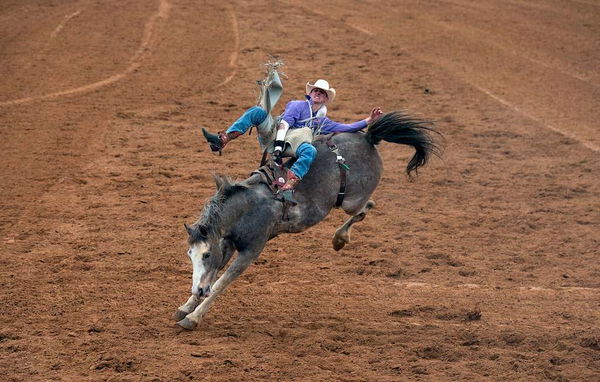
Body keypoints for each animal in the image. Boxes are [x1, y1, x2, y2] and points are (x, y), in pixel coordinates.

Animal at [173, 112, 440, 330]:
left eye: (206, 254)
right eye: (189, 254)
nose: (197, 290)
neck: (248, 205)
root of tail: (369, 138)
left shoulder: (252, 249)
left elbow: (221, 282)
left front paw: (193, 317)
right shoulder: (227, 242)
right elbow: (212, 275)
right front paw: (187, 305)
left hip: (351, 201)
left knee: (366, 207)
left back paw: (339, 238)